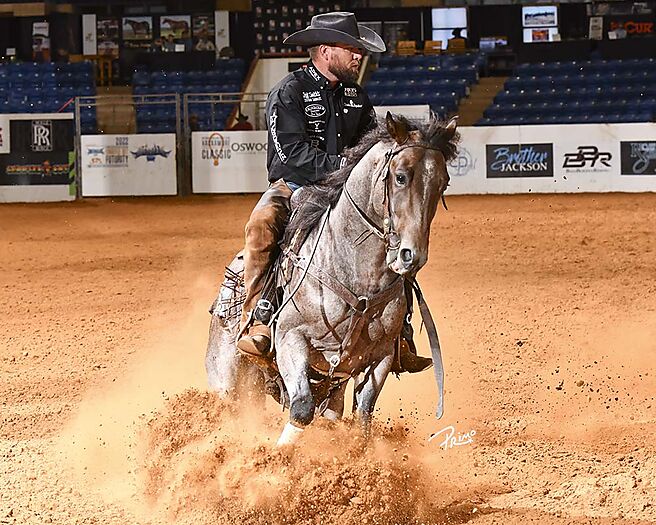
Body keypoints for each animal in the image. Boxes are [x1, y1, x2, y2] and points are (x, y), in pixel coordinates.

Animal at [206, 112, 458, 446]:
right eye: (401, 176)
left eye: (443, 183)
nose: (411, 256)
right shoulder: (290, 340)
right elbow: (301, 410)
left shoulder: (379, 359)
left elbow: (362, 421)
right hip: (229, 380)